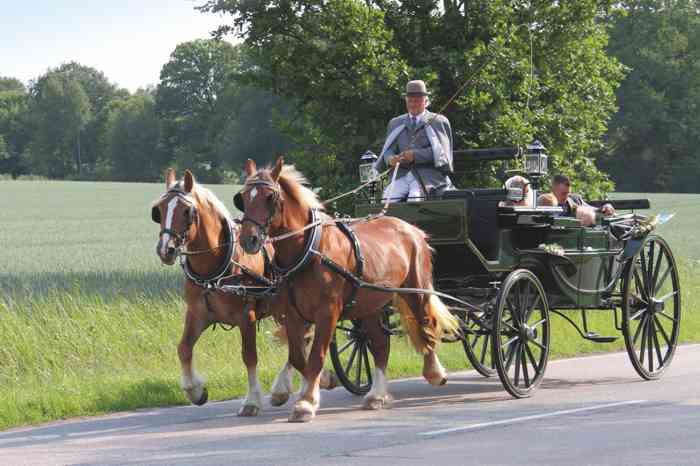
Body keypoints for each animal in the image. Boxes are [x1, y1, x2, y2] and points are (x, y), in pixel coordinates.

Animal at [152, 167, 338, 416]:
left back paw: (294, 385)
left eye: (186, 210)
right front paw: (195, 391)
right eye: (160, 210)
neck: (216, 268)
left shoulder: (246, 316)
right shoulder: (197, 314)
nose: (166, 250)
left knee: (301, 340)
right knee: (298, 341)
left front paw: (251, 401)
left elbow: (249, 356)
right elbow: (184, 348)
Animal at [238, 157, 462, 422]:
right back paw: (377, 395)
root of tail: (413, 229)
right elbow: (299, 356)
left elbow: (315, 356)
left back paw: (435, 372)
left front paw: (306, 402)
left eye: (270, 197)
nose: (248, 240)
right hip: (370, 305)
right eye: (244, 197)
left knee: (427, 325)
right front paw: (316, 385)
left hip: (416, 291)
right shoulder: (293, 313)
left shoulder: (327, 312)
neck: (309, 249)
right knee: (380, 344)